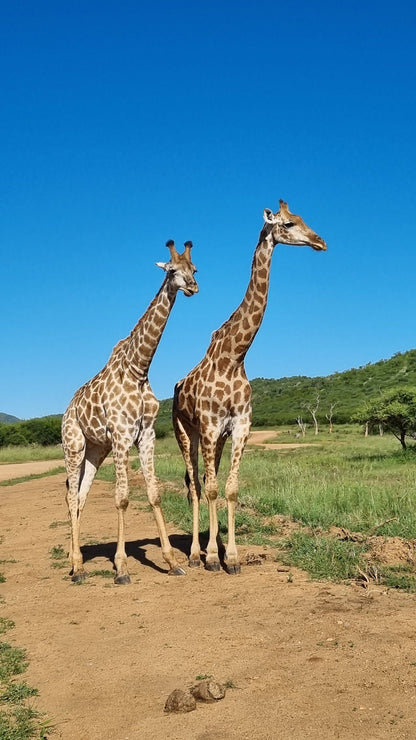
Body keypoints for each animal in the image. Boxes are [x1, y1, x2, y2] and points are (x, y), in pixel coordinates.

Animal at [61, 241, 198, 584]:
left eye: (194, 268)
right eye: (172, 270)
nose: (193, 287)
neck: (138, 369)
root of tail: (67, 410)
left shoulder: (145, 434)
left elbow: (154, 494)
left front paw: (172, 562)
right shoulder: (122, 435)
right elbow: (121, 497)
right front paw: (121, 568)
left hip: (96, 449)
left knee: (80, 496)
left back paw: (73, 559)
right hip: (74, 445)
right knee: (70, 496)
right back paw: (78, 568)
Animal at [172, 201, 324, 572]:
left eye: (302, 219)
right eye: (288, 224)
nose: (320, 242)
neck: (234, 356)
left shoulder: (239, 427)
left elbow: (230, 488)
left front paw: (232, 556)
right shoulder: (210, 426)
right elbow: (212, 489)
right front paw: (214, 557)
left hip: (211, 438)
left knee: (202, 481)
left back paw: (207, 547)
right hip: (186, 432)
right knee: (195, 486)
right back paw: (195, 554)